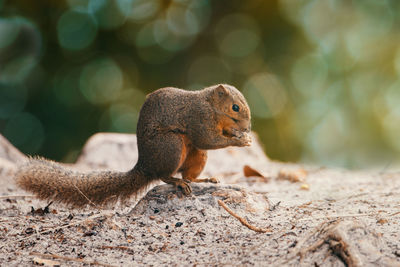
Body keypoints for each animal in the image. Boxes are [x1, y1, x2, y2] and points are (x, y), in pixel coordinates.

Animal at [16, 84, 253, 207]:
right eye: (235, 107)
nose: (247, 127)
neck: (211, 107)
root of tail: (144, 166)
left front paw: (241, 136)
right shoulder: (198, 118)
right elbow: (208, 139)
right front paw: (239, 140)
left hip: (197, 155)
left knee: (189, 175)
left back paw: (203, 180)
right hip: (171, 147)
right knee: (165, 176)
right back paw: (176, 182)